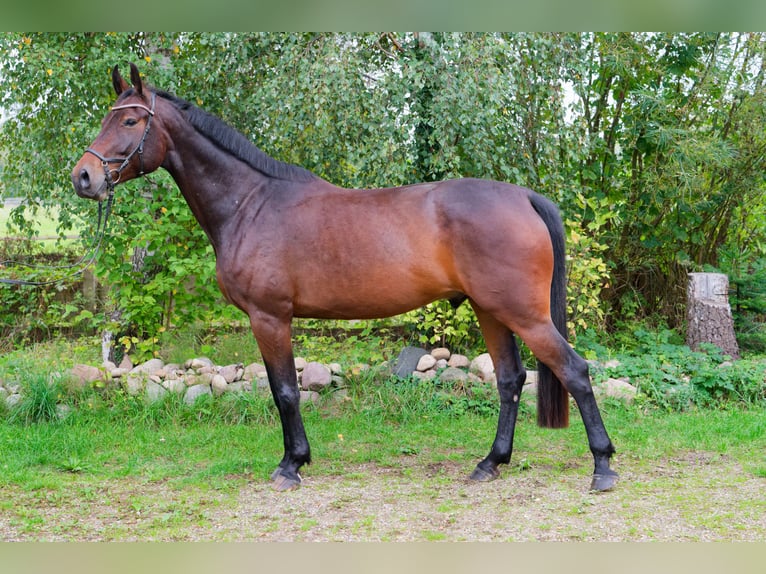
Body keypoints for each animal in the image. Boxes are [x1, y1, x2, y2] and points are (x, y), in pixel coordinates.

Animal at [71, 63, 618, 492]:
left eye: (130, 119)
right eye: (107, 117)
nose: (84, 177)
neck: (250, 204)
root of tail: (524, 196)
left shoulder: (270, 317)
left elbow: (284, 391)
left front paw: (291, 465)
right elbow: (284, 389)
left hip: (523, 313)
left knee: (574, 371)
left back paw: (603, 468)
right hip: (492, 310)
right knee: (510, 379)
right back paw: (490, 463)